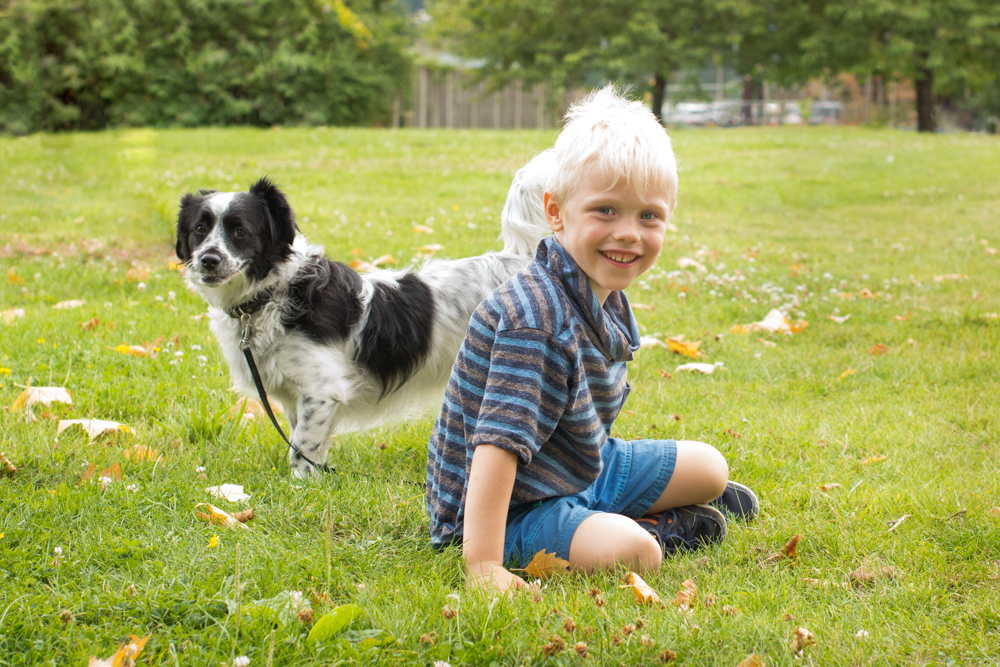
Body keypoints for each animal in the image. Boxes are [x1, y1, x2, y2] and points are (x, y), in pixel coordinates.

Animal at [176, 155, 552, 478]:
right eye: (199, 229)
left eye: (240, 231)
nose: (208, 260)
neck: (274, 294)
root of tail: (525, 259)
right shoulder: (297, 396)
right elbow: (303, 438)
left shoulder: (322, 390)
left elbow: (302, 446)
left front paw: (300, 485)